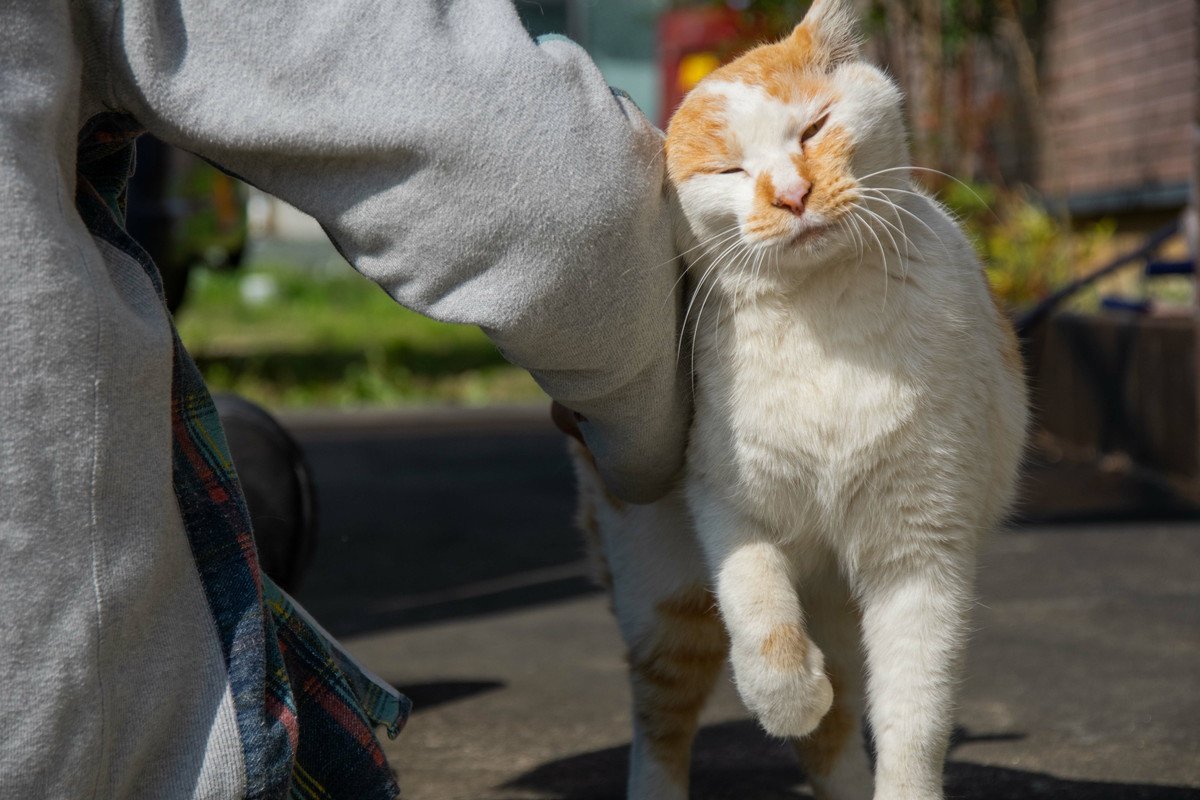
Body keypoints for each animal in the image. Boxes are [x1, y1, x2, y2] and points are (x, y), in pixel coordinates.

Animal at [568, 1, 1022, 800]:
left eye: (813, 128)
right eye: (730, 170)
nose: (791, 193)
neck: (824, 321)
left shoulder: (920, 551)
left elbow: (914, 717)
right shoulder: (728, 505)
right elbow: (758, 613)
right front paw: (784, 696)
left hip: (838, 606)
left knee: (836, 732)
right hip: (665, 599)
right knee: (663, 719)